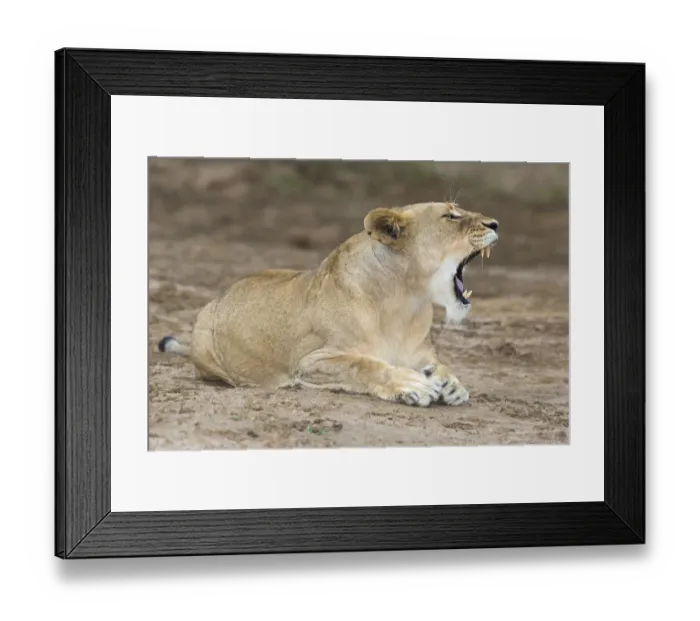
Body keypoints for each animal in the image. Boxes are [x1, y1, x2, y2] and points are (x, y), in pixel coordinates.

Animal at [158, 201, 499, 407]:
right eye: (451, 215)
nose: (496, 223)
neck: (405, 302)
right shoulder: (308, 362)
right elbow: (362, 364)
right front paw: (413, 384)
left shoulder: (420, 351)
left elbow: (437, 364)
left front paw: (449, 383)